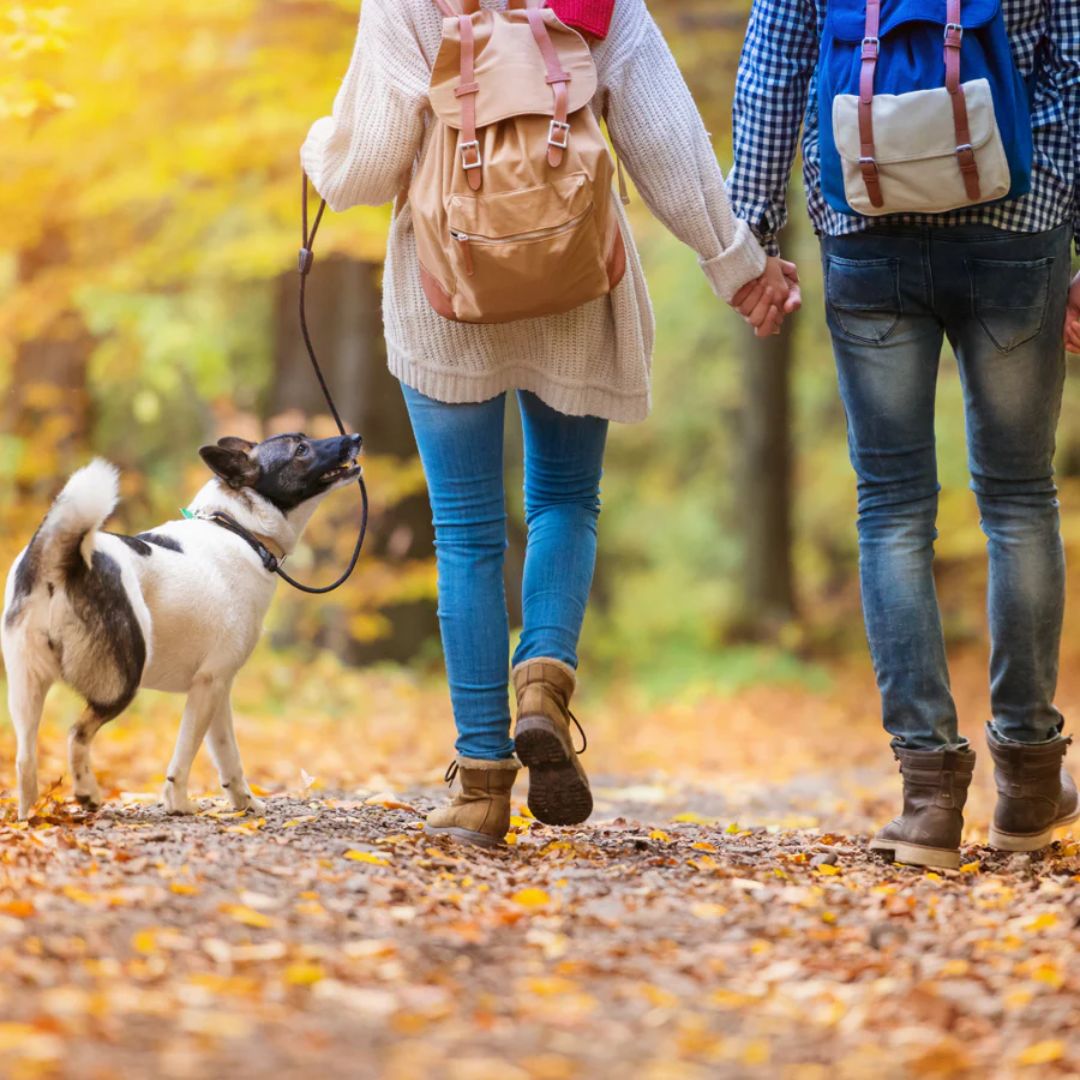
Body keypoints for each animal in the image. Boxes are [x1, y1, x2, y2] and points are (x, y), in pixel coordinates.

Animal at [0, 429, 365, 816]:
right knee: (77, 734)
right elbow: (185, 754)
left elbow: (228, 756)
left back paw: (31, 819)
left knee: (25, 760)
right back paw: (87, 792)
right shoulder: (207, 685)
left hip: (26, 688)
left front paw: (244, 803)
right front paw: (179, 804)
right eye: (300, 449)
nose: (355, 437)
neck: (239, 528)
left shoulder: (218, 688)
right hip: (121, 681)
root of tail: (63, 560)